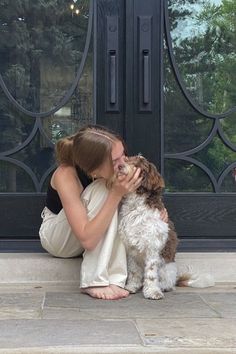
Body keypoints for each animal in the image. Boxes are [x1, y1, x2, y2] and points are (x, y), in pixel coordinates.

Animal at [117, 155, 214, 298]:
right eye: (128, 159)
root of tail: (176, 279)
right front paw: (131, 287)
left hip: (167, 269)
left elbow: (151, 274)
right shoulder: (131, 248)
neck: (136, 206)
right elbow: (134, 271)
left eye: (138, 165)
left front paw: (152, 291)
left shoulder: (152, 246)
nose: (119, 165)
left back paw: (162, 287)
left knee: (167, 283)